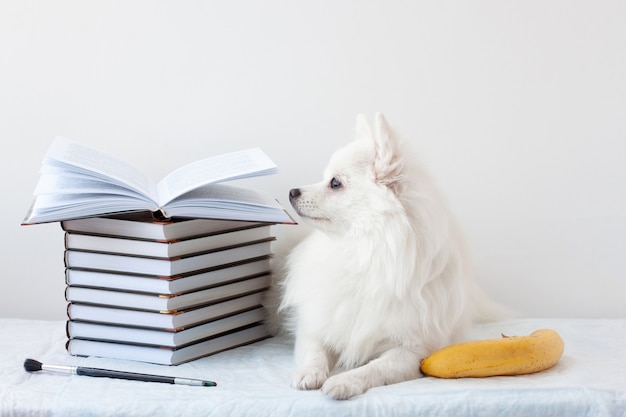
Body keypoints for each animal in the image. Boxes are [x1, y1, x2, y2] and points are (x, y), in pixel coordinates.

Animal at [272, 112, 498, 398]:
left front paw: (344, 381)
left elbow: (376, 368)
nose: (292, 191)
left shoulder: (413, 351)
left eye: (335, 183)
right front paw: (308, 372)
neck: (363, 251)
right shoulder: (316, 324)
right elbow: (314, 350)